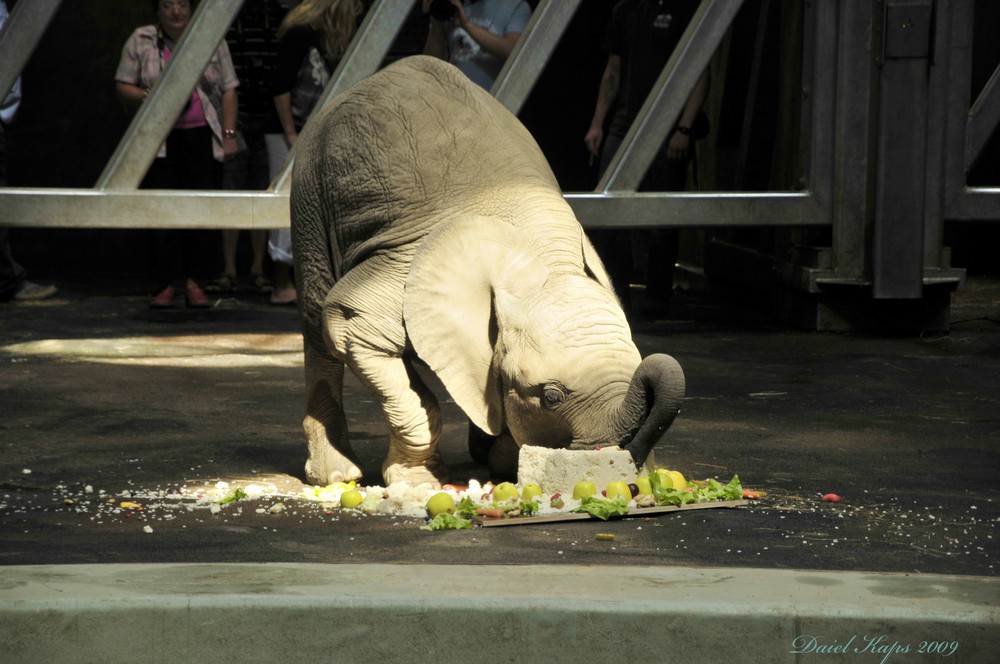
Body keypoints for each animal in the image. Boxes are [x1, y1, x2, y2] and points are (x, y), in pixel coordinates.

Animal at [286, 55, 684, 488]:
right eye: (551, 397)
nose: (629, 473)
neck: (545, 255)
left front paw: (504, 462)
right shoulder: (402, 265)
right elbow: (349, 321)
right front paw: (420, 482)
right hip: (310, 185)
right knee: (316, 316)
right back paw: (335, 476)